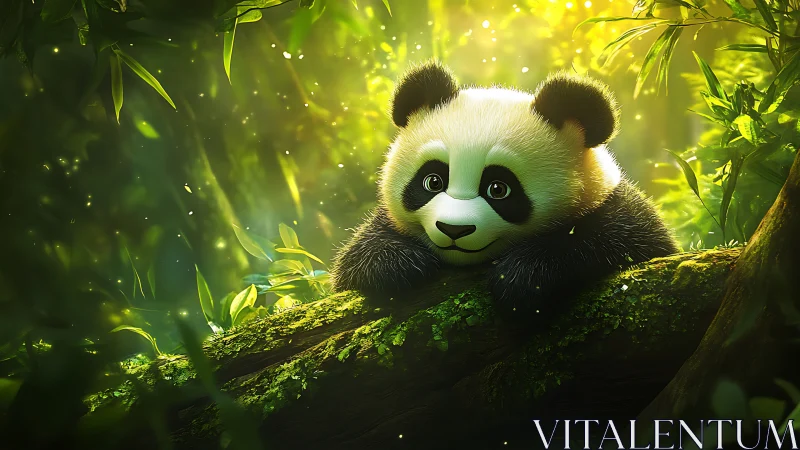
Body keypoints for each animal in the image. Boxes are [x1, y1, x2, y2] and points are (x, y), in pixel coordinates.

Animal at [331, 60, 678, 312]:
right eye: (433, 181)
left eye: (498, 189)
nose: (453, 229)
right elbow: (355, 260)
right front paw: (401, 265)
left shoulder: (618, 210)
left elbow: (619, 239)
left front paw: (522, 275)